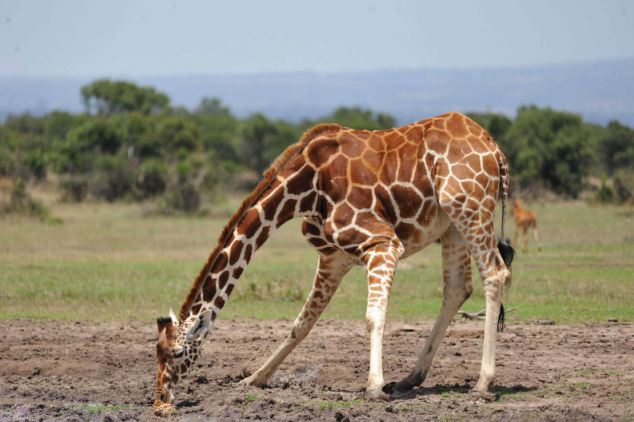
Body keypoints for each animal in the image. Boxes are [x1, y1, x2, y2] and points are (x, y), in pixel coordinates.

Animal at [153, 110, 512, 408]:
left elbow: (373, 316)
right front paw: (253, 379)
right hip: (452, 226)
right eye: (155, 351)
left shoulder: (382, 242)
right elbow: (301, 323)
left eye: (178, 353)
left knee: (496, 274)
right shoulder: (333, 259)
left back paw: (482, 383)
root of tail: (495, 150)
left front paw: (373, 386)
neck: (305, 189)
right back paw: (410, 379)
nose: (161, 398)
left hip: (468, 208)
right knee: (457, 287)